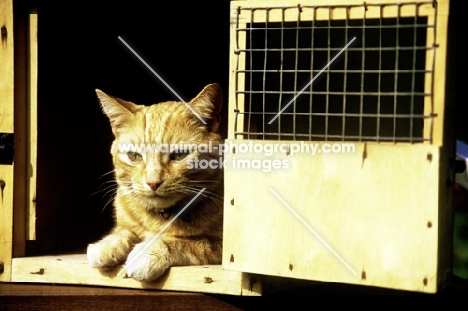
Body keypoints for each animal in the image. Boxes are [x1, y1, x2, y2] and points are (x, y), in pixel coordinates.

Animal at [87, 83, 224, 282]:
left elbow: (186, 243)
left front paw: (146, 252)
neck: (159, 216)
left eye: (180, 155)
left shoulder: (221, 246)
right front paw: (106, 244)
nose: (153, 182)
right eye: (134, 156)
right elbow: (123, 231)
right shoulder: (126, 224)